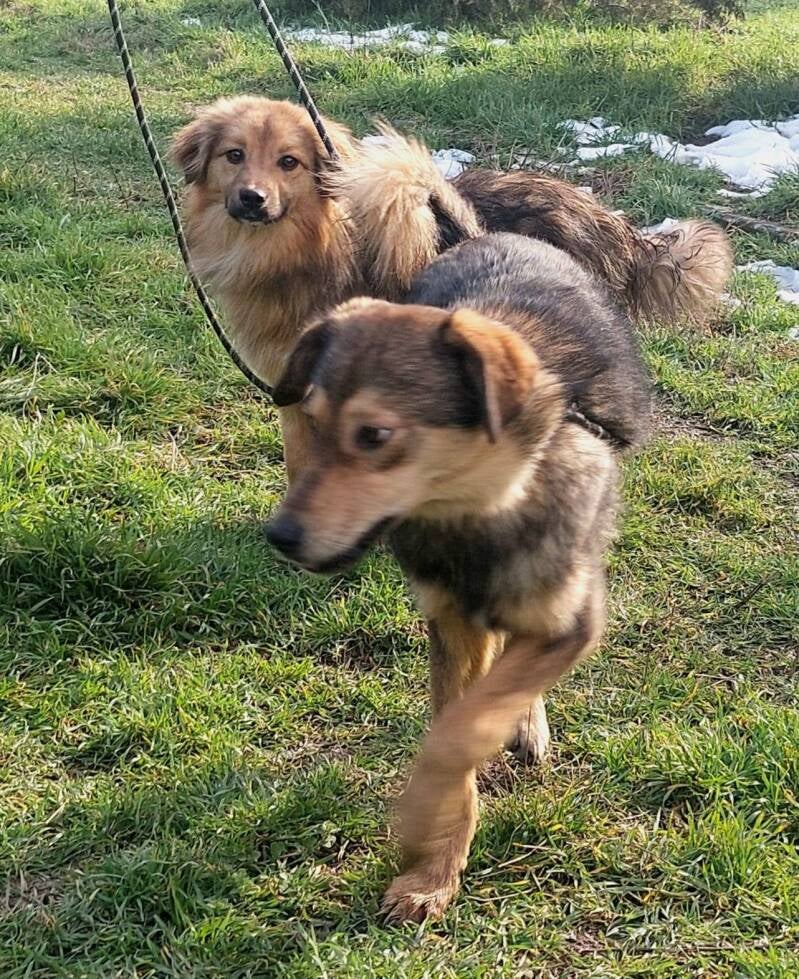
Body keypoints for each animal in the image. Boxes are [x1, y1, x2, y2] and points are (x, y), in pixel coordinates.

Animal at [264, 232, 651, 922]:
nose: (278, 536)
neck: (480, 510)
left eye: (374, 434)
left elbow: (457, 735)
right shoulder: (449, 621)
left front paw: (423, 826)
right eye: (310, 421)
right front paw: (434, 868)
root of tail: (495, 235)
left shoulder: (571, 622)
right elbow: (454, 722)